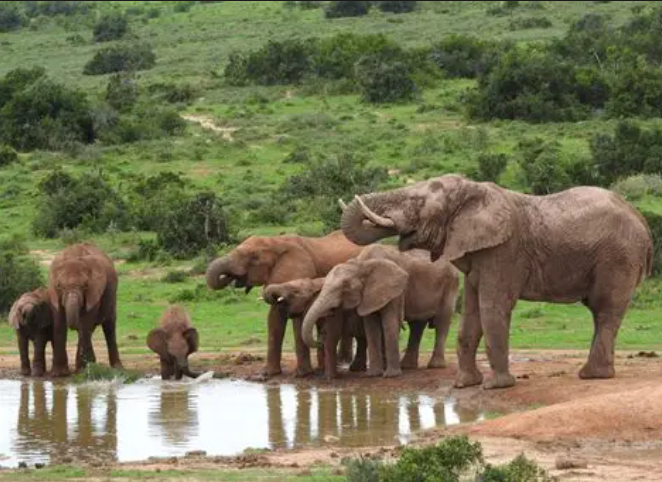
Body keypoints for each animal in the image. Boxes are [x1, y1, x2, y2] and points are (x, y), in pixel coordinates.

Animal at [48, 243, 122, 377]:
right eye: (59, 286)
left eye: (85, 285)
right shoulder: (54, 293)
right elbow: (59, 323)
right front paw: (59, 374)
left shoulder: (94, 291)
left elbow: (85, 322)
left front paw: (82, 371)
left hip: (112, 294)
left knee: (108, 326)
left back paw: (116, 368)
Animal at [205, 230, 363, 377]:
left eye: (254, 258)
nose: (230, 277)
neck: (276, 241)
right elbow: (274, 318)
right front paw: (269, 373)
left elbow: (299, 318)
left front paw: (302, 375)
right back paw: (335, 364)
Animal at [302, 244, 460, 378]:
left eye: (345, 286)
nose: (320, 338)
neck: (362, 264)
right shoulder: (369, 295)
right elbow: (371, 327)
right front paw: (373, 374)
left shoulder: (395, 290)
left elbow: (389, 322)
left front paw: (391, 375)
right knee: (417, 325)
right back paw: (407, 366)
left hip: (450, 285)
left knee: (442, 322)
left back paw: (435, 366)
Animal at [339, 174, 654, 389]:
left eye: (417, 203)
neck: (473, 191)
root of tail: (641, 220)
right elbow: (470, 314)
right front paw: (465, 384)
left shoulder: (503, 251)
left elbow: (492, 308)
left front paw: (496, 386)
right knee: (600, 313)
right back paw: (593, 373)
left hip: (618, 258)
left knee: (606, 309)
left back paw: (592, 375)